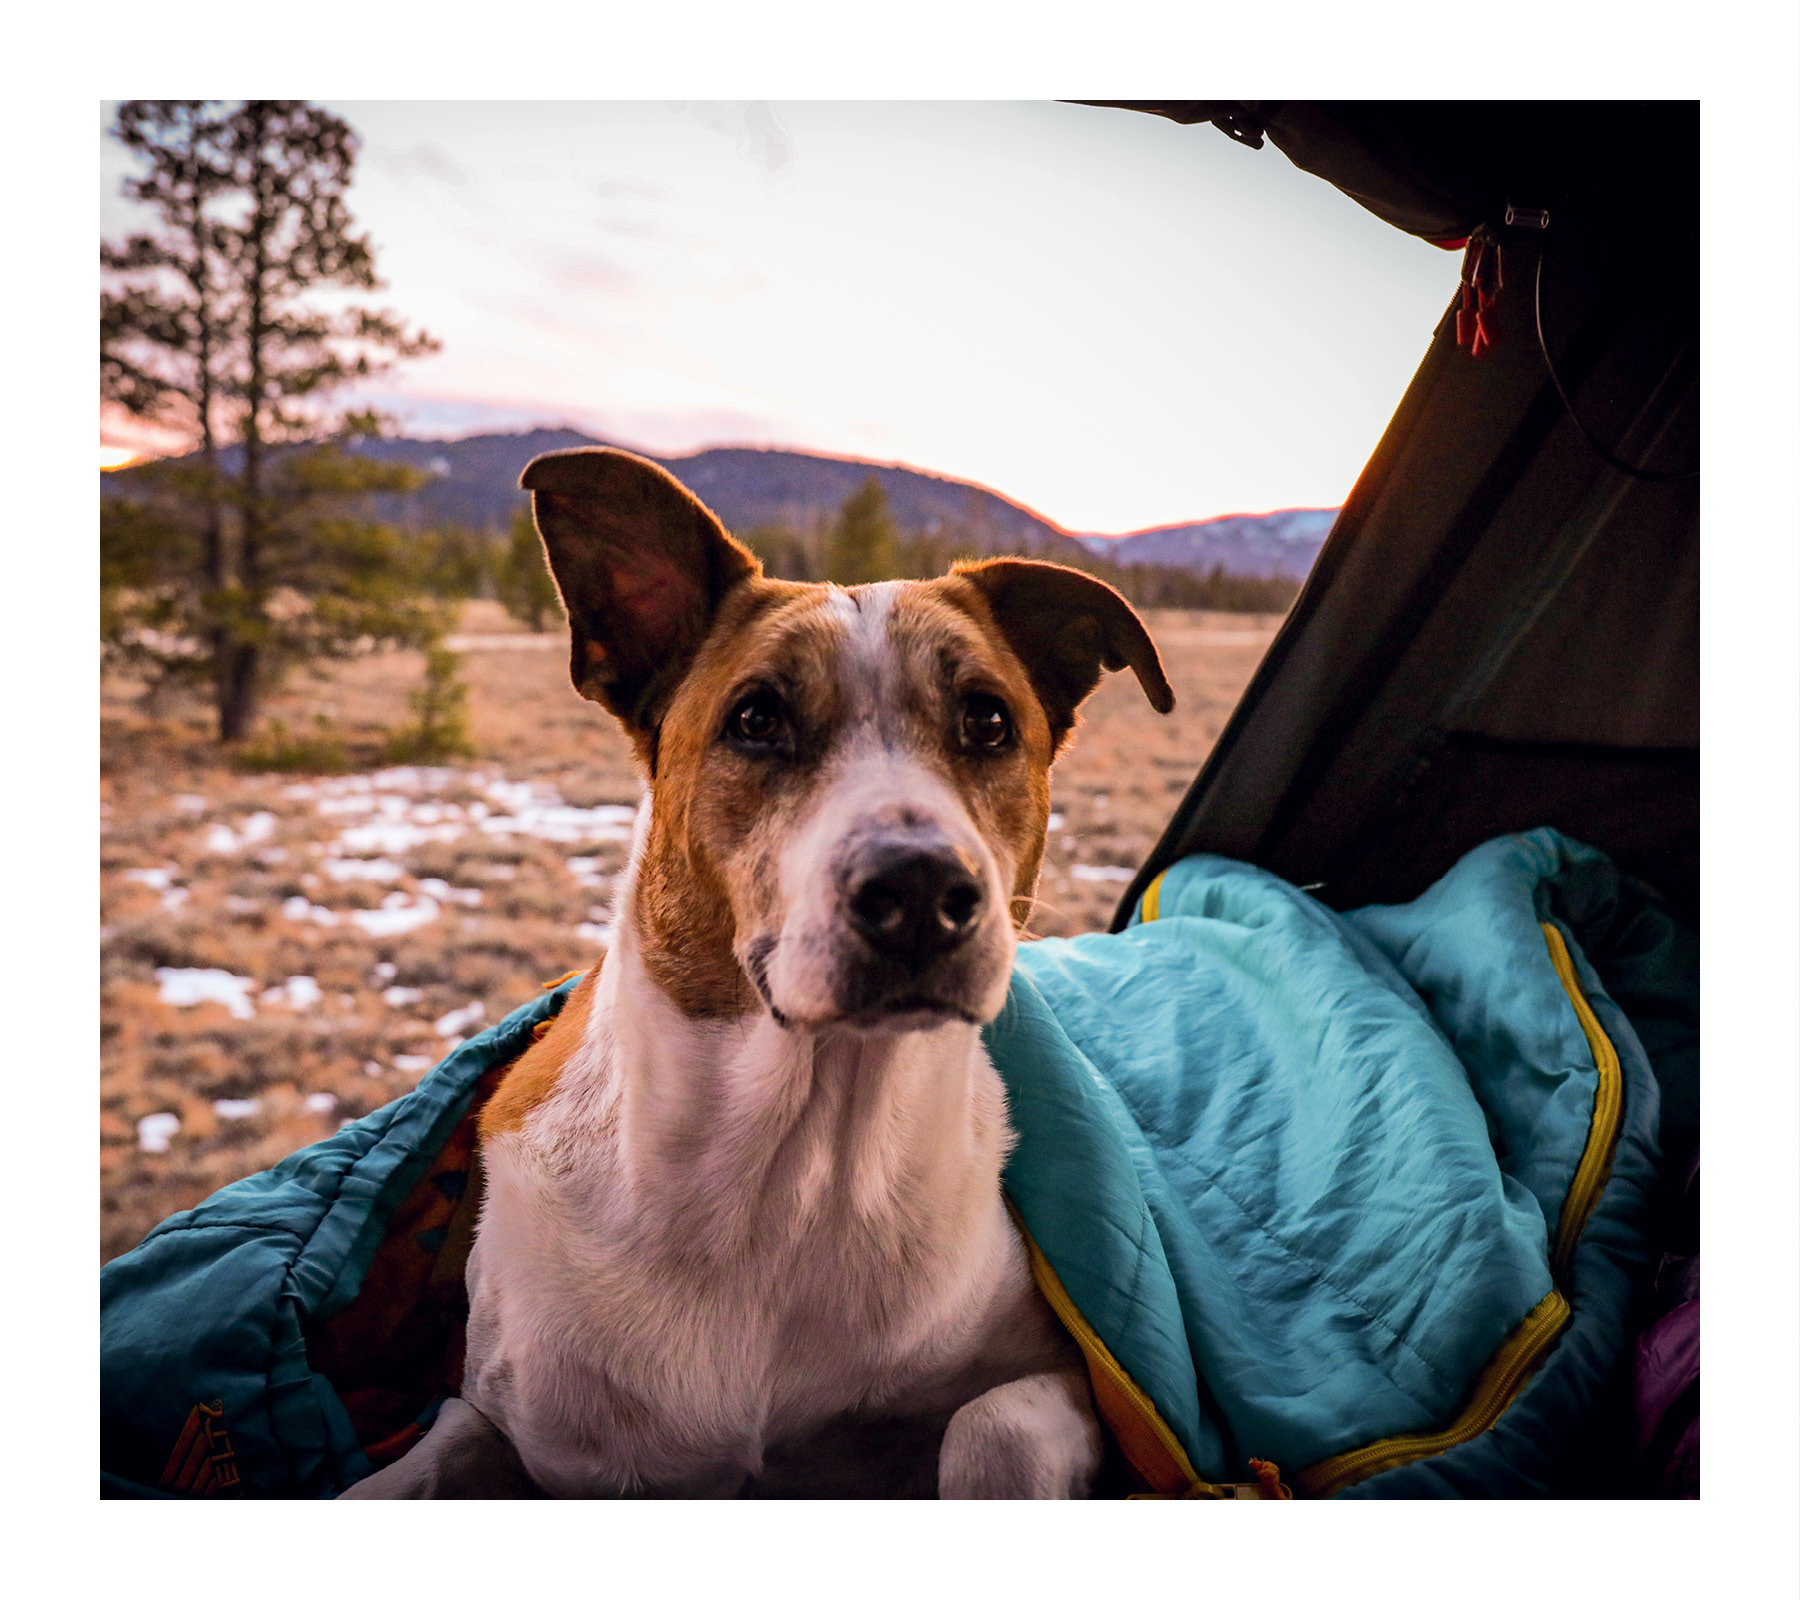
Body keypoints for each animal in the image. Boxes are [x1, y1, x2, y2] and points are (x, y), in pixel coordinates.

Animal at [342, 449, 1173, 1497]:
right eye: (757, 719)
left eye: (988, 721)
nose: (921, 890)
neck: (793, 1173)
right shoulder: (508, 1416)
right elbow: (414, 1465)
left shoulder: (1067, 1377)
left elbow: (991, 1427)